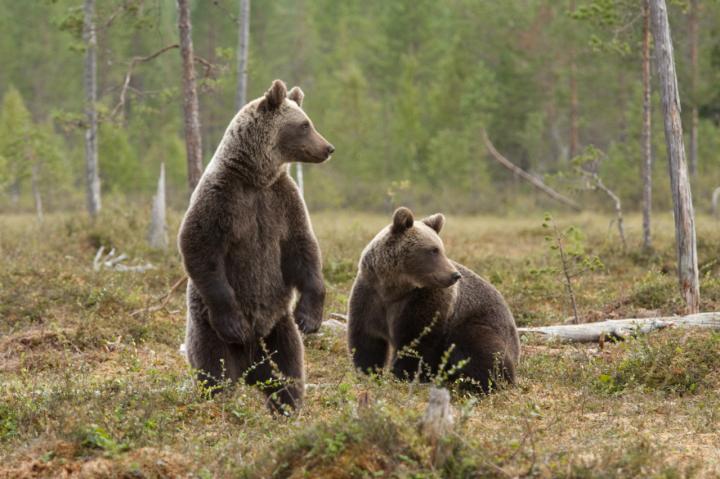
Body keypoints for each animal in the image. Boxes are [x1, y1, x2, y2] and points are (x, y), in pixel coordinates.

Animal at [178, 79, 334, 412]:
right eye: (305, 124)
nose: (328, 148)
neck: (256, 177)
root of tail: (251, 366)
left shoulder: (282, 201)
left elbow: (303, 248)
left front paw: (309, 317)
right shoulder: (222, 198)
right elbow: (200, 246)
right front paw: (234, 321)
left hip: (278, 330)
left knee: (289, 371)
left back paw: (288, 407)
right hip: (207, 329)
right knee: (215, 371)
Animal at [347, 207, 520, 392]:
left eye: (441, 249)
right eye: (433, 250)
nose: (454, 275)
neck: (394, 288)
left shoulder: (424, 302)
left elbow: (417, 342)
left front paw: (404, 376)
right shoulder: (371, 295)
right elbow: (367, 340)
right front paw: (368, 373)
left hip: (480, 323)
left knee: (480, 348)